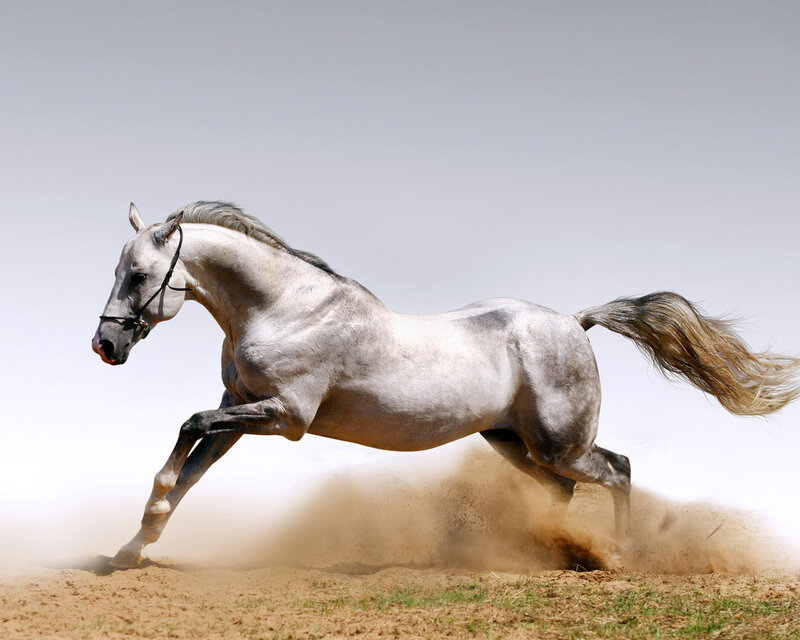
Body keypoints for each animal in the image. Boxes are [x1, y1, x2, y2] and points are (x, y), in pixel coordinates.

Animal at [92, 201, 800, 568]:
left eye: (140, 274)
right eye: (120, 270)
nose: (105, 346)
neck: (284, 307)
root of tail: (575, 322)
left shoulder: (284, 416)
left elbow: (186, 431)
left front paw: (140, 531)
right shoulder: (239, 406)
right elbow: (190, 469)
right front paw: (132, 547)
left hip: (558, 443)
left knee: (618, 469)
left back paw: (619, 557)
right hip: (510, 442)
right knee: (566, 490)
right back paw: (547, 553)